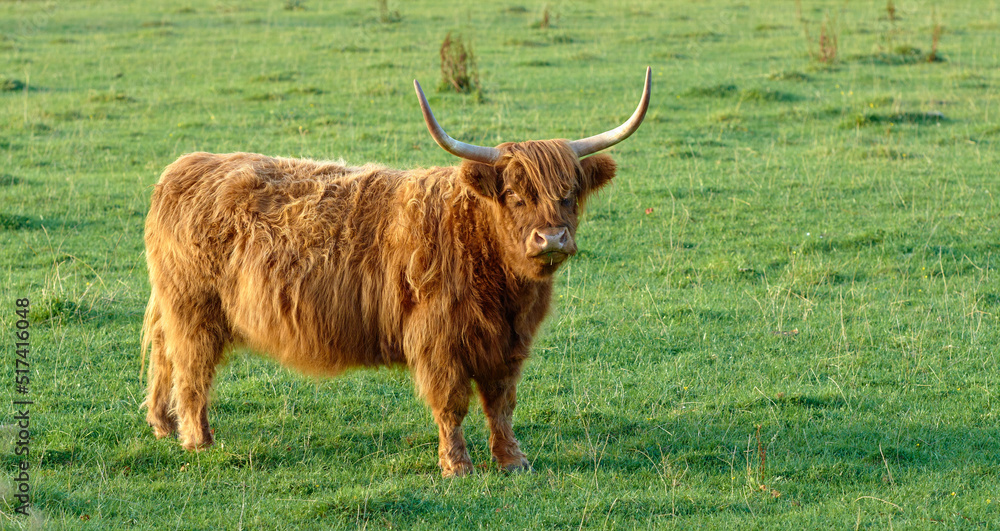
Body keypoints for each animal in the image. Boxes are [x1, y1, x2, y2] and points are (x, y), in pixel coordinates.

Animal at [145, 66, 652, 478]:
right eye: (514, 195)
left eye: (569, 193)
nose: (551, 239)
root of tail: (186, 166)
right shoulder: (438, 340)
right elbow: (451, 404)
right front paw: (457, 466)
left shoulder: (509, 343)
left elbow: (501, 403)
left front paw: (513, 460)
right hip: (194, 310)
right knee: (191, 369)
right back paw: (198, 440)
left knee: (163, 356)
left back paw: (163, 426)